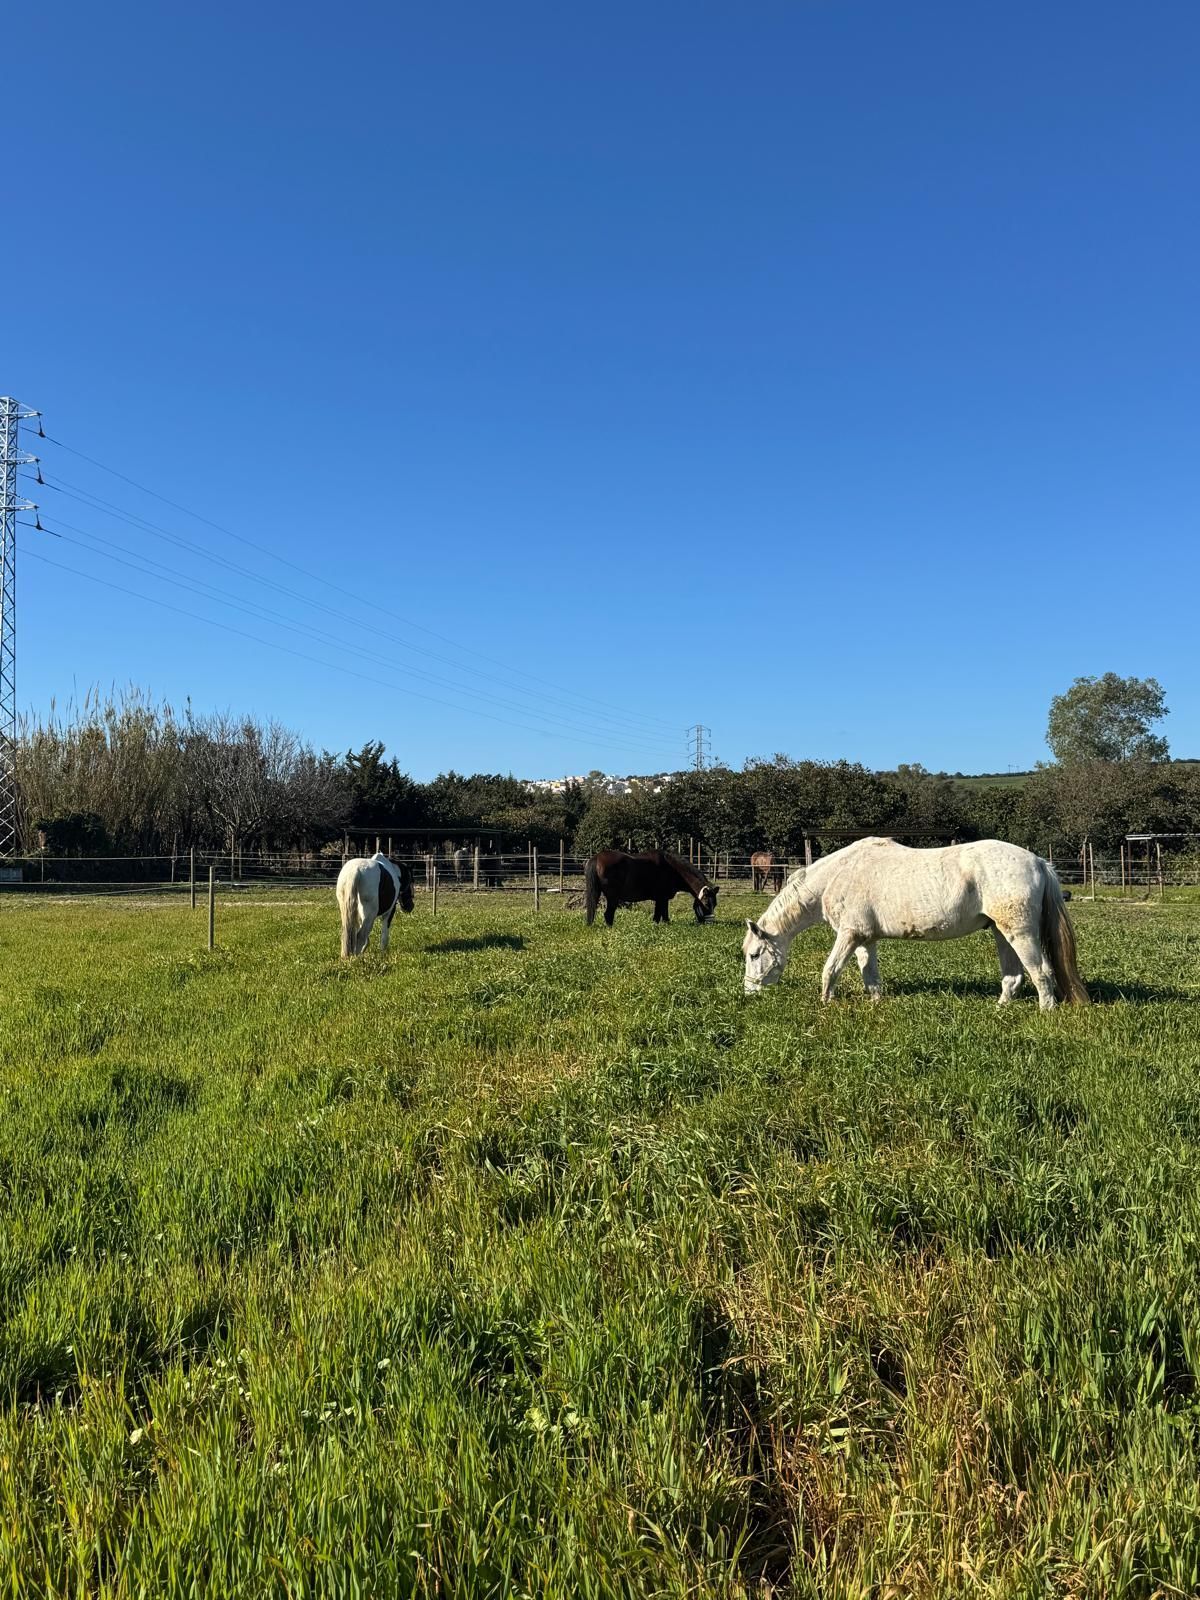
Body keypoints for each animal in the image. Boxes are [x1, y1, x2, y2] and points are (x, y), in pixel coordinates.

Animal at [585, 850, 718, 926]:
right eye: (707, 904)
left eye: (715, 904)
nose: (711, 924)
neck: (672, 869)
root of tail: (596, 858)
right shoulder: (662, 898)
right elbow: (663, 915)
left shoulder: (660, 899)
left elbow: (658, 916)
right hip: (613, 898)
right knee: (608, 914)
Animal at [742, 837, 1088, 1010]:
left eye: (754, 955)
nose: (749, 992)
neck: (837, 875)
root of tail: (1038, 862)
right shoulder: (865, 938)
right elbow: (870, 974)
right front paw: (876, 1003)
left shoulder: (848, 935)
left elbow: (831, 969)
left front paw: (825, 1004)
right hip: (1003, 934)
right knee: (1014, 977)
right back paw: (1000, 1008)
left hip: (1020, 933)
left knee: (1041, 973)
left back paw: (1045, 1012)